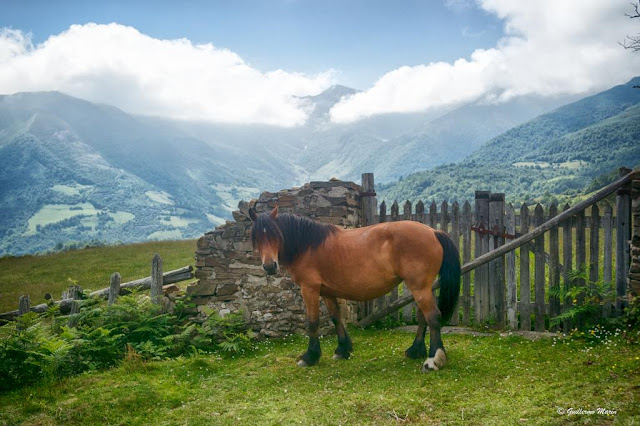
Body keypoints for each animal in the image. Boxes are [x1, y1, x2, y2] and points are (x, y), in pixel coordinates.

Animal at [249, 205, 460, 372]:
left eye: (275, 233)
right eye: (257, 236)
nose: (270, 266)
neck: (307, 245)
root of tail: (433, 232)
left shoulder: (309, 289)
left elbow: (313, 322)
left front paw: (310, 356)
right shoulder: (326, 292)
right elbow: (336, 317)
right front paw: (342, 350)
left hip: (419, 287)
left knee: (433, 316)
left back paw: (433, 359)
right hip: (422, 288)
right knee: (423, 317)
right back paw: (415, 350)